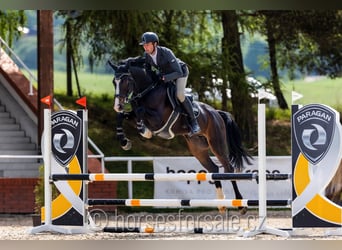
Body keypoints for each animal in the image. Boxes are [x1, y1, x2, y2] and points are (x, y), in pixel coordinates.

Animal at [108, 58, 252, 213]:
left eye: (126, 81)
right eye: (114, 82)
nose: (117, 105)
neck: (148, 91)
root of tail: (216, 113)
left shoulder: (158, 119)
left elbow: (141, 111)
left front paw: (144, 130)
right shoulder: (133, 115)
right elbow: (121, 116)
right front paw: (124, 141)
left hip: (216, 143)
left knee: (228, 169)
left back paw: (240, 205)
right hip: (197, 148)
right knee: (213, 169)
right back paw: (221, 204)